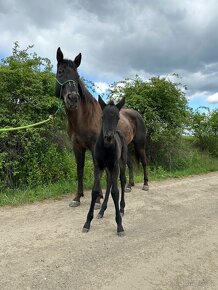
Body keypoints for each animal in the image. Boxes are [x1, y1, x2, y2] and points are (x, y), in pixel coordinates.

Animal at [55, 47, 149, 207]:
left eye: (77, 76)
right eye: (60, 72)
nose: (73, 99)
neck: (84, 117)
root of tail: (136, 114)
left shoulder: (95, 147)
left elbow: (97, 170)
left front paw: (98, 198)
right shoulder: (77, 147)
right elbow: (80, 169)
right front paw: (77, 197)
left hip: (139, 145)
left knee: (143, 161)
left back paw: (145, 184)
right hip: (126, 146)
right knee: (129, 163)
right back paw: (129, 186)